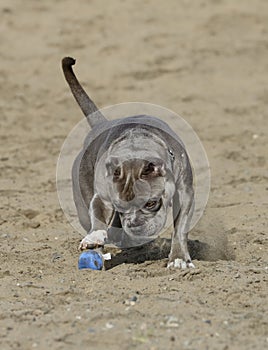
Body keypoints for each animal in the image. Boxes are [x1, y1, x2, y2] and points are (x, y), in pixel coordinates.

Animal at [61, 56, 195, 268]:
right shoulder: (102, 198)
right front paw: (95, 238)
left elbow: (180, 227)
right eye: (119, 204)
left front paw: (179, 258)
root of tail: (102, 124)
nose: (134, 225)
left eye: (151, 203)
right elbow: (98, 218)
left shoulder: (185, 193)